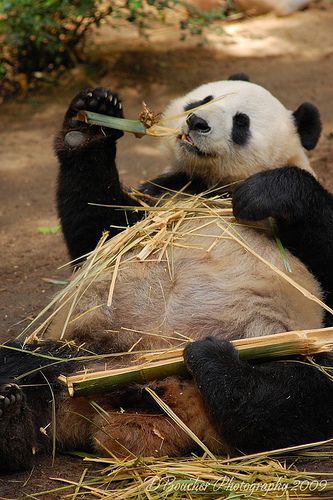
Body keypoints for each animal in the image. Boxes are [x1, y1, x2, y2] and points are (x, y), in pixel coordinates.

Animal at [0, 74, 332, 472]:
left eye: (241, 122)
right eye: (201, 100)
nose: (197, 122)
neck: (211, 186)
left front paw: (268, 191)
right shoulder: (157, 201)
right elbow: (98, 230)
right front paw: (91, 121)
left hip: (283, 348)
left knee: (296, 394)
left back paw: (218, 366)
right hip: (81, 351)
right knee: (26, 361)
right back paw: (13, 423)